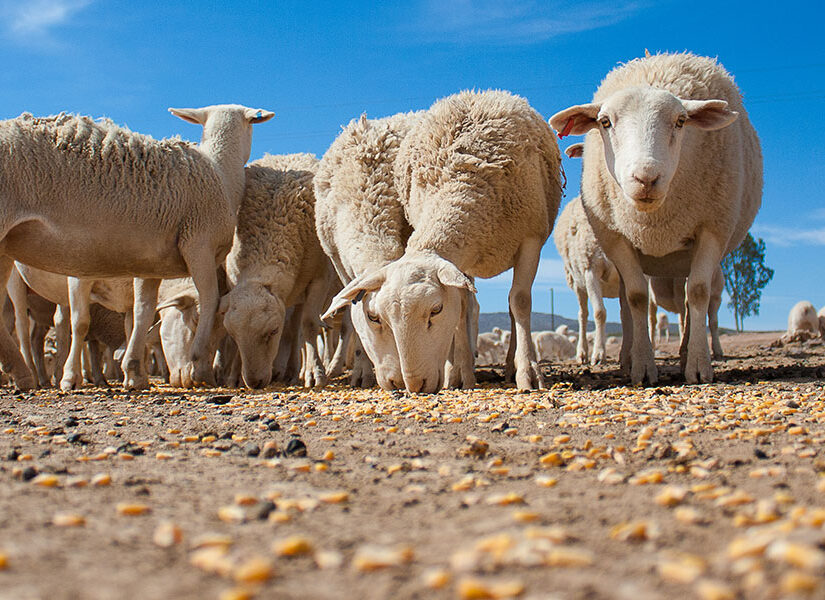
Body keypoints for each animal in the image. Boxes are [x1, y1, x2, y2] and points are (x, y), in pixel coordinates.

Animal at [0, 105, 276, 392]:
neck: (219, 172)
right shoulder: (199, 243)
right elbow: (210, 300)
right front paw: (199, 364)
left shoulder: (151, 263)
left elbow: (142, 312)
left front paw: (134, 373)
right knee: (21, 324)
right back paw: (32, 374)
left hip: (7, 245)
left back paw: (20, 373)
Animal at [222, 152, 334, 392]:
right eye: (233, 334)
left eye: (273, 331)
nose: (255, 383)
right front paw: (234, 376)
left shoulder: (320, 278)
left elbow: (309, 324)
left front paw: (315, 373)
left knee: (296, 329)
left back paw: (294, 371)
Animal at [326, 91, 564, 394]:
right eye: (377, 317)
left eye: (436, 310)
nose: (414, 385)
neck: (463, 182)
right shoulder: (459, 261)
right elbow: (461, 307)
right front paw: (459, 374)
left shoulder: (530, 239)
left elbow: (520, 302)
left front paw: (529, 372)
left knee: (513, 307)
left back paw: (511, 365)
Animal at [552, 196, 616, 366]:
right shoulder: (591, 269)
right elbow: (599, 313)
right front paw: (599, 354)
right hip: (577, 283)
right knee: (583, 314)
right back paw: (582, 353)